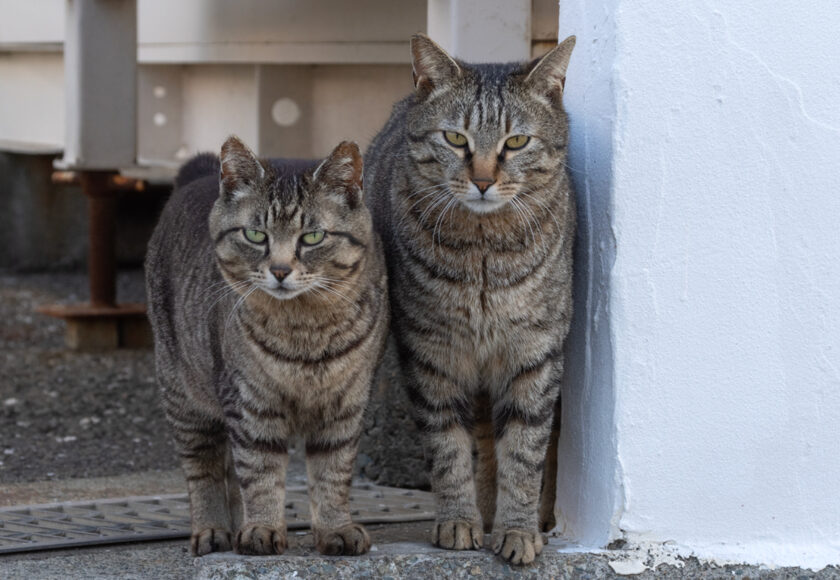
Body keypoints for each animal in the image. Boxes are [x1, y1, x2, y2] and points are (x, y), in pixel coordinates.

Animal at [146, 136, 388, 556]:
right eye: (256, 235)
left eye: (312, 237)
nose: (279, 270)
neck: (305, 330)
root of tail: (198, 174)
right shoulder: (249, 403)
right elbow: (260, 472)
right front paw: (262, 529)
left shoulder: (346, 406)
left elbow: (332, 473)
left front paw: (335, 529)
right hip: (183, 396)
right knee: (204, 470)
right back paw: (212, 530)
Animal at [364, 34, 576, 564]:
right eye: (455, 139)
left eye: (516, 142)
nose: (482, 181)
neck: (483, 252)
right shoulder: (430, 354)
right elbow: (448, 447)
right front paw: (459, 520)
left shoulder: (536, 353)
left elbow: (525, 450)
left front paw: (519, 529)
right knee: (480, 436)